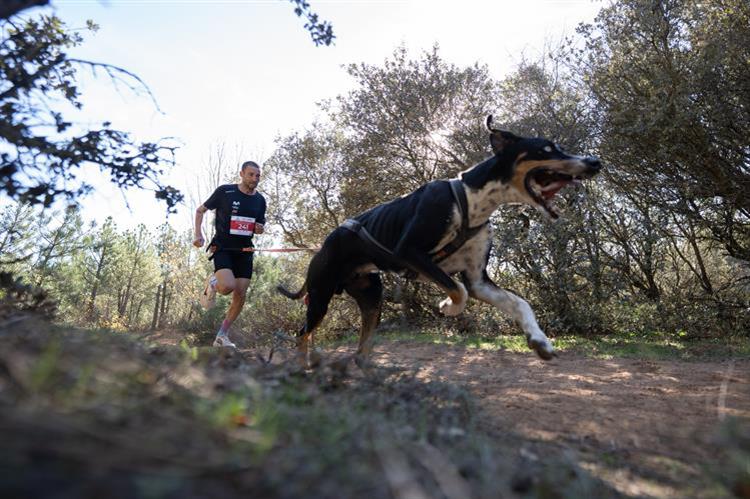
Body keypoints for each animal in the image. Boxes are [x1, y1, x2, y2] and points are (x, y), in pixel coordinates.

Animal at [280, 116, 604, 368]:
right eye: (545, 149)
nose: (595, 161)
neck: (471, 200)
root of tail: (322, 245)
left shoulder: (477, 279)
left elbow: (518, 302)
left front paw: (540, 341)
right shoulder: (411, 252)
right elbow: (458, 289)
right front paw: (448, 306)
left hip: (372, 298)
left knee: (360, 348)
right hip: (321, 297)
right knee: (302, 333)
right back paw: (303, 366)